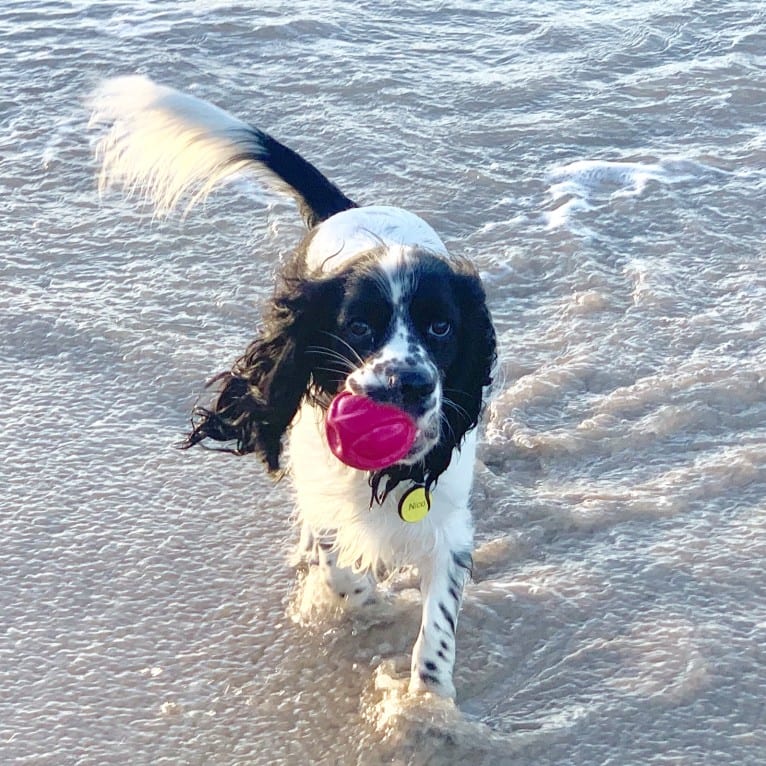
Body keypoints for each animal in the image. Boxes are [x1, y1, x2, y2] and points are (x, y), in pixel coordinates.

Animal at [90, 78, 498, 704]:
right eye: (359, 326)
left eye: (441, 327)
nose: (409, 384)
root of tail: (352, 210)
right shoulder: (323, 480)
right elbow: (340, 563)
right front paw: (361, 594)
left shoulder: (448, 519)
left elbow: (438, 623)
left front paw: (427, 702)